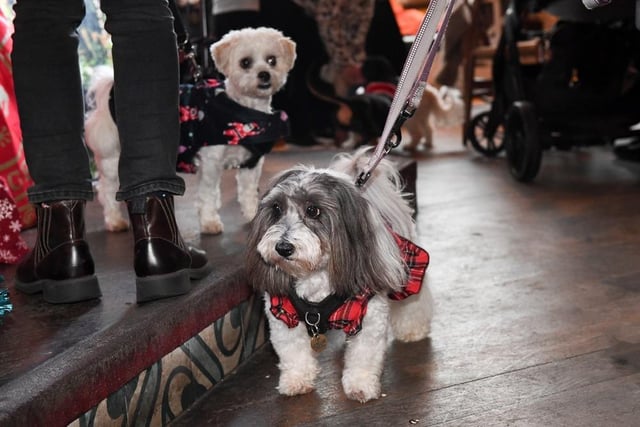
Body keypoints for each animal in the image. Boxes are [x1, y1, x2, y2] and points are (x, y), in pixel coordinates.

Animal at [84, 27, 296, 234]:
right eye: (245, 62)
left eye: (272, 60)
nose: (264, 74)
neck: (244, 110)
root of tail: (109, 91)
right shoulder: (211, 163)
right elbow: (208, 193)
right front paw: (209, 221)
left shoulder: (251, 165)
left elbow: (248, 192)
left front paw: (254, 215)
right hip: (111, 158)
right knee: (107, 190)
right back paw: (115, 221)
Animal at [248, 149, 432, 402]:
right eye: (276, 208)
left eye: (313, 210)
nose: (283, 248)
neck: (315, 276)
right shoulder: (283, 316)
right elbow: (293, 353)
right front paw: (296, 381)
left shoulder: (369, 315)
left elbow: (363, 355)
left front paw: (360, 385)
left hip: (405, 274)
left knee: (413, 304)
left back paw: (413, 330)